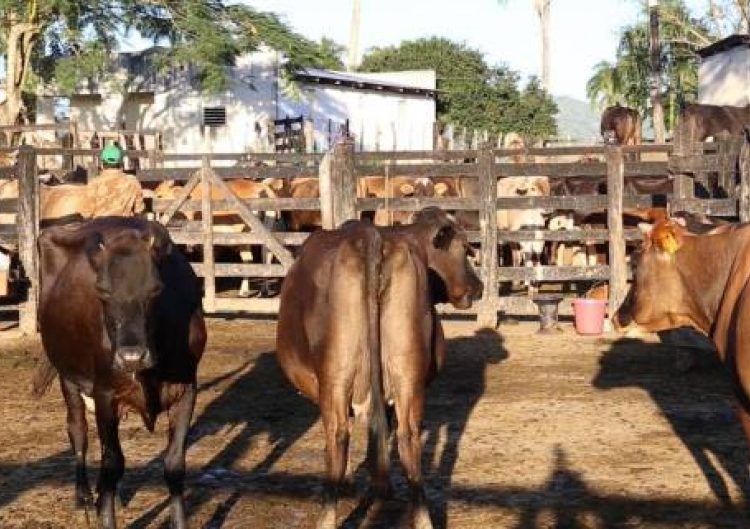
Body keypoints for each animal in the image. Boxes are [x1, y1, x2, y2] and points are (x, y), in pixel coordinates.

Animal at [32, 217, 207, 529]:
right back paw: (85, 495)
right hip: (68, 377)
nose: (131, 356)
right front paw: (105, 512)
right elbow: (112, 463)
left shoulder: (187, 388)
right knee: (78, 431)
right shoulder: (104, 394)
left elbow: (174, 464)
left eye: (155, 289)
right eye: (102, 290)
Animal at [276, 208, 482, 529]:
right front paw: (381, 486)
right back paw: (419, 516)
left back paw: (327, 516)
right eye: (463, 249)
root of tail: (372, 236)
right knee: (408, 436)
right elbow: (381, 432)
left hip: (336, 378)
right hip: (406, 376)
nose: (479, 286)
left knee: (338, 434)